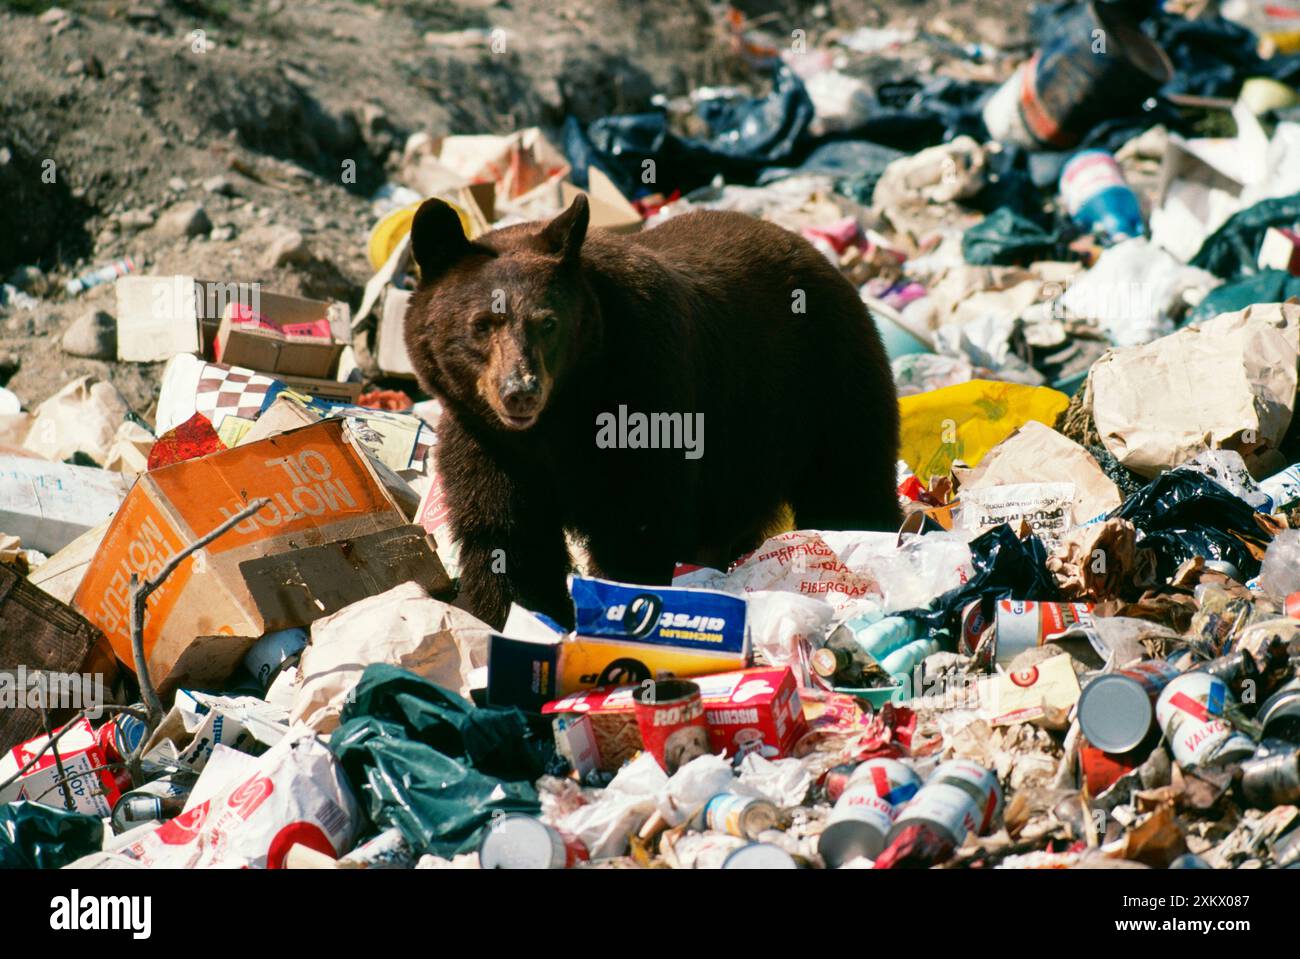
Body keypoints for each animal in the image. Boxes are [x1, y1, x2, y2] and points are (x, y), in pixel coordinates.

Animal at [405, 194, 904, 628]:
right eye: (481, 324)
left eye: (548, 323)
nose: (520, 392)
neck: (559, 420)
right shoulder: (484, 441)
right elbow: (508, 536)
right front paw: (514, 618)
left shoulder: (648, 394)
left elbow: (637, 523)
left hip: (824, 383)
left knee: (847, 481)